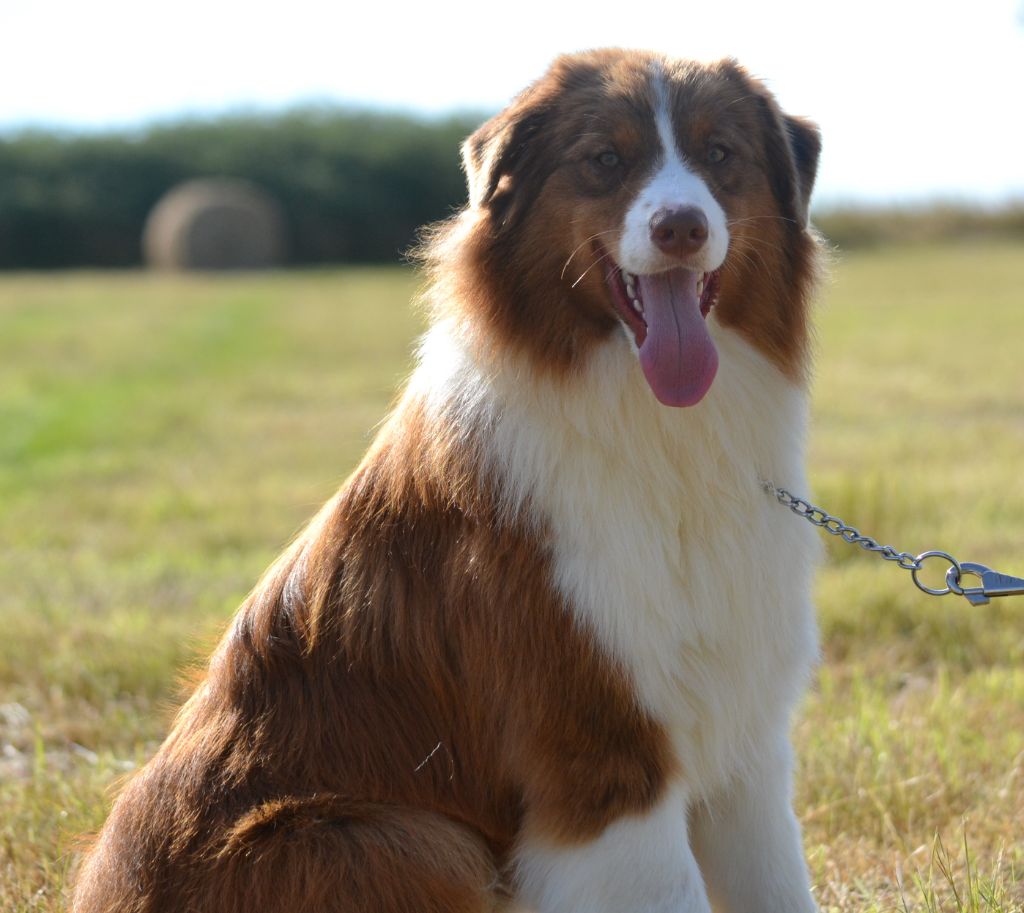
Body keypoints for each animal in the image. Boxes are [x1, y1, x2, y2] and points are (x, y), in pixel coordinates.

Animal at [72, 49, 823, 913]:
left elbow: (779, 883)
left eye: (720, 154)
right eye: (605, 159)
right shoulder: (602, 751)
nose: (682, 226)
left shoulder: (747, 737)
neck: (661, 433)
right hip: (411, 837)